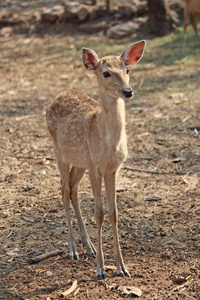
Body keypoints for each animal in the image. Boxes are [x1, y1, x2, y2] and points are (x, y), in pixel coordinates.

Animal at [45, 41, 145, 280]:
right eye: (106, 73)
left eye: (127, 70)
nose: (128, 91)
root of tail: (58, 95)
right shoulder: (95, 167)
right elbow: (99, 213)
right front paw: (101, 270)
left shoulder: (111, 169)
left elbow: (113, 212)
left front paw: (122, 267)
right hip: (60, 152)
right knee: (64, 189)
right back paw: (73, 249)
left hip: (79, 162)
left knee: (72, 188)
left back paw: (88, 245)